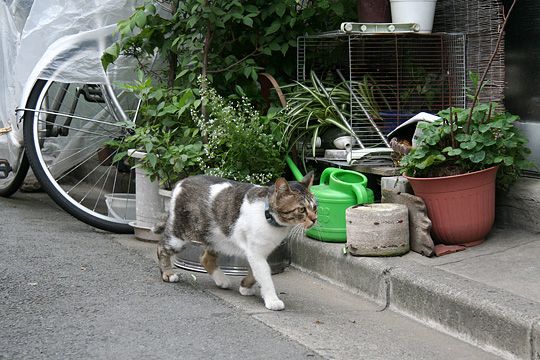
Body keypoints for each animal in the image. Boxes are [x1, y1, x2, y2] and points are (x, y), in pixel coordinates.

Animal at [155, 173, 316, 310]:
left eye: (315, 207)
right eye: (302, 209)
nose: (314, 219)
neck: (268, 216)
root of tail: (181, 182)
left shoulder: (260, 253)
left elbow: (258, 272)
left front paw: (245, 286)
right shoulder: (255, 252)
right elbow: (265, 274)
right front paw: (272, 300)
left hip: (215, 238)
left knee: (205, 258)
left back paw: (221, 280)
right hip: (179, 235)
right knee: (161, 248)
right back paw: (168, 274)